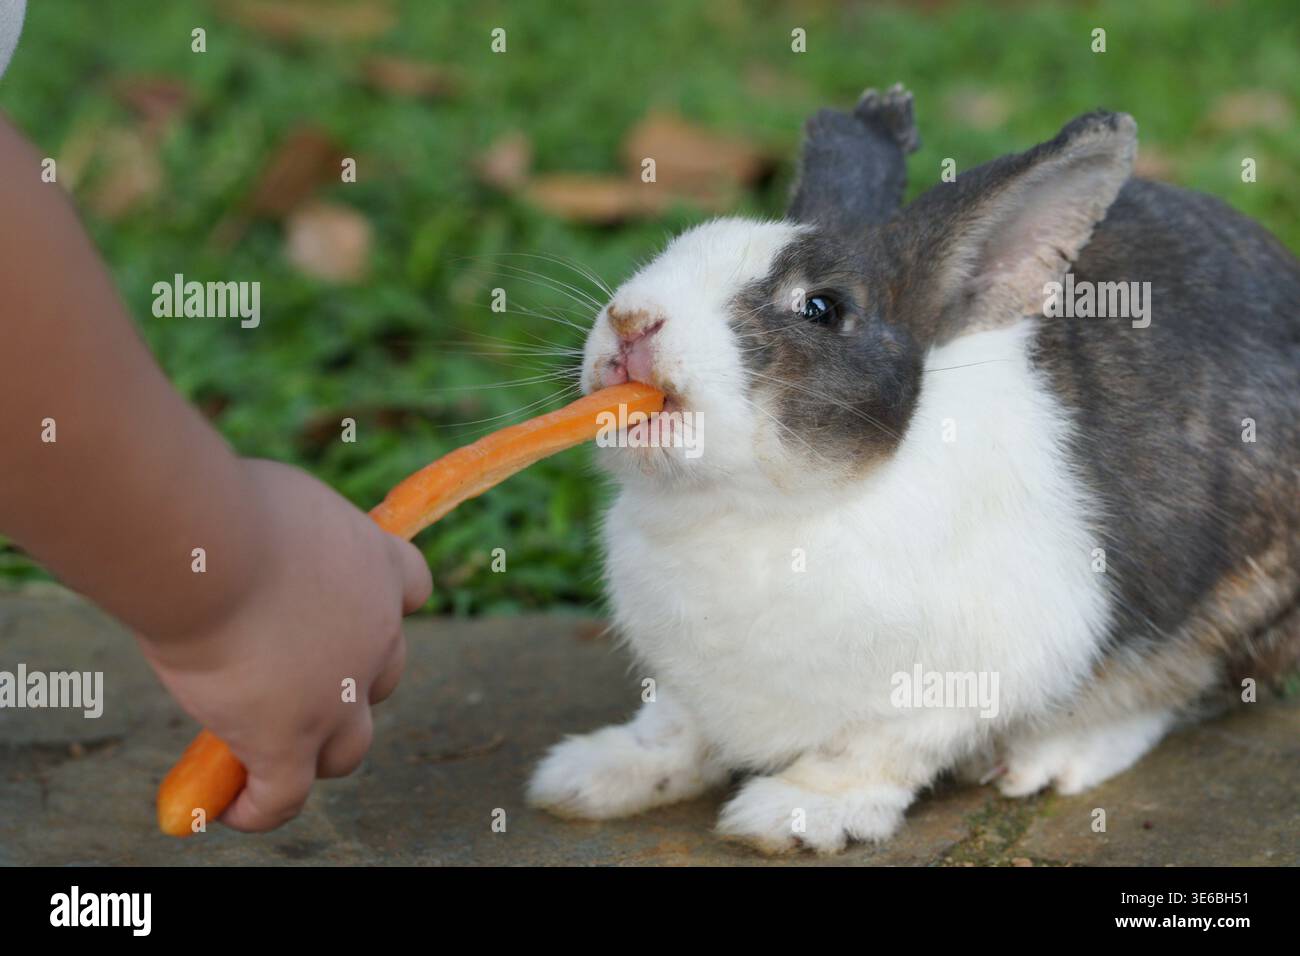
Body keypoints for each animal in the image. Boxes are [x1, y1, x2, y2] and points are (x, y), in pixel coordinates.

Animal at [526, 85, 1300, 854]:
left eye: (821, 308)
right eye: (673, 248)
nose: (632, 321)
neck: (761, 513)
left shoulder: (963, 679)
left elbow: (871, 750)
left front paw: (793, 815)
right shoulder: (690, 687)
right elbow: (676, 731)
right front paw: (588, 778)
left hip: (1237, 604)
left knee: (1174, 688)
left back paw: (1052, 759)